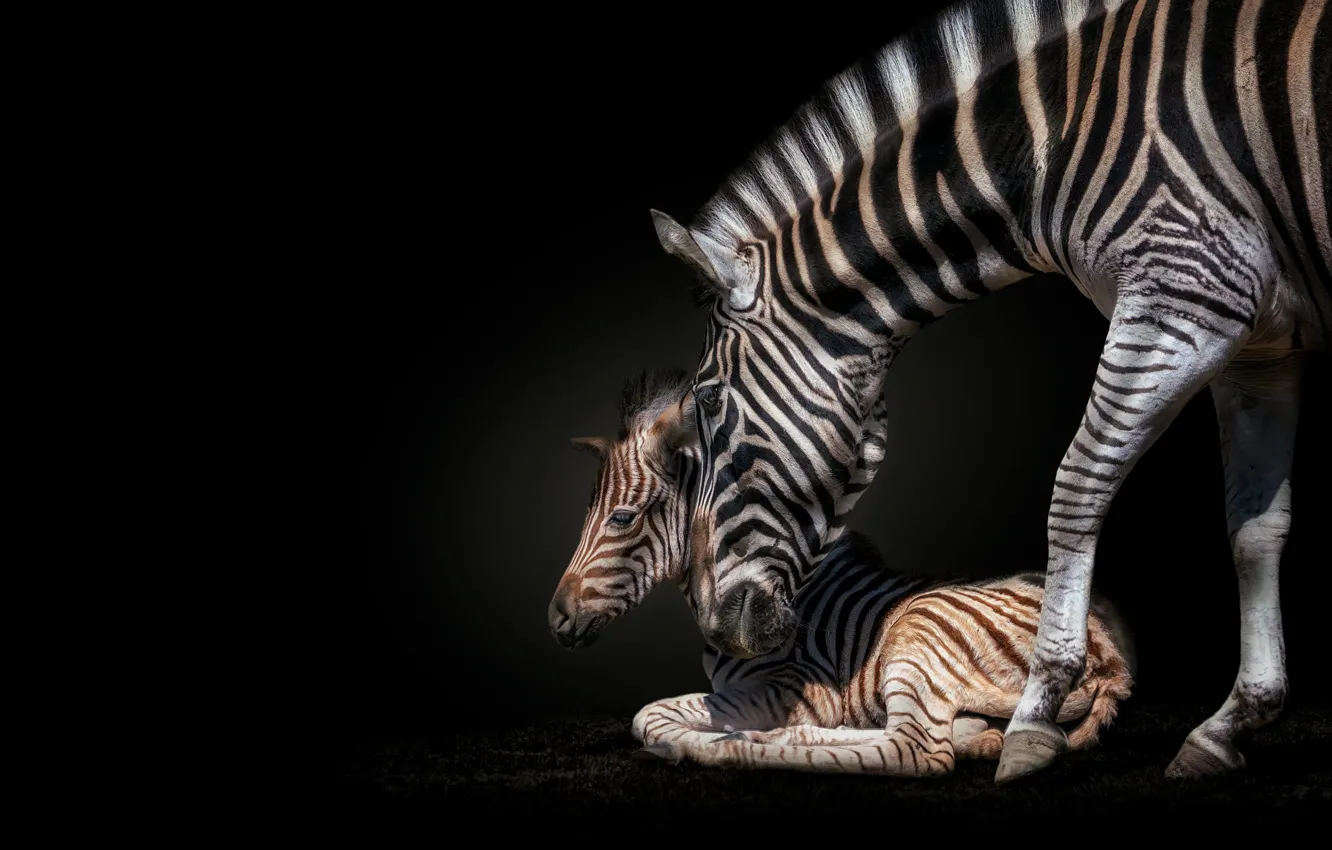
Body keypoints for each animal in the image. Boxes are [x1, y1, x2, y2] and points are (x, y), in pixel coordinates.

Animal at [549, 370, 1135, 776]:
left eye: (622, 518)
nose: (555, 619)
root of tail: (1112, 661)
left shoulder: (790, 686)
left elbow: (648, 716)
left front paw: (685, 741)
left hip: (919, 629)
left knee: (915, 751)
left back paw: (734, 746)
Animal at [645, 0, 1329, 784]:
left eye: (709, 401)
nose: (713, 625)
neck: (1057, 139)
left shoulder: (1183, 293)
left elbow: (1077, 488)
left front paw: (1037, 710)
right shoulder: (1261, 348)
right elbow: (1255, 530)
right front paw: (1233, 721)